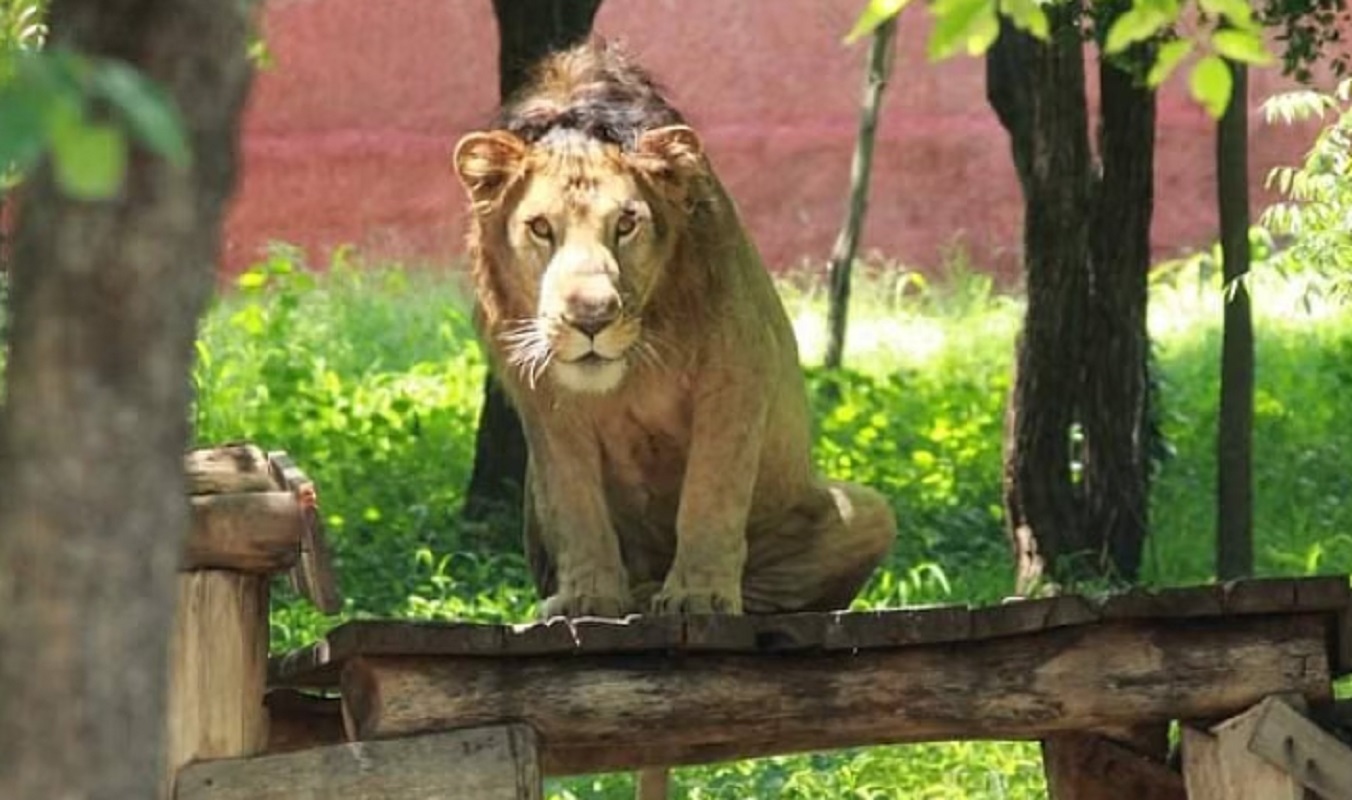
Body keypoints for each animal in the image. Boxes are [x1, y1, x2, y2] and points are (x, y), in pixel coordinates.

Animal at [454, 42, 897, 618]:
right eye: (540, 228)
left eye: (626, 224)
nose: (591, 318)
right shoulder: (544, 401)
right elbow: (577, 506)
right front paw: (587, 598)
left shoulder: (736, 371)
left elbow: (709, 495)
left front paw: (699, 595)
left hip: (870, 508)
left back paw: (656, 596)